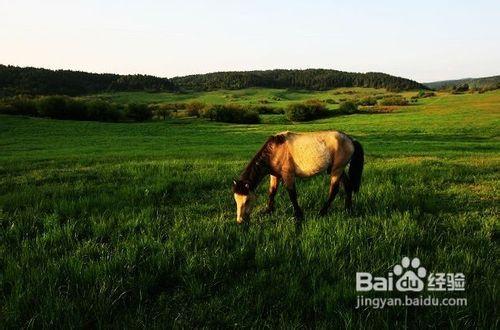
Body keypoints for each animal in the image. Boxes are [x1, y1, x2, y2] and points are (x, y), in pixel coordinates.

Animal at [232, 131, 366, 224]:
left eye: (247, 200)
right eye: (236, 200)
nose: (240, 221)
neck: (275, 150)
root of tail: (350, 139)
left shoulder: (288, 175)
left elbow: (292, 194)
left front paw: (298, 215)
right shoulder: (274, 175)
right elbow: (272, 192)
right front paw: (268, 210)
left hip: (337, 170)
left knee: (334, 190)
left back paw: (322, 212)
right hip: (339, 170)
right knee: (348, 186)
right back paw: (348, 209)